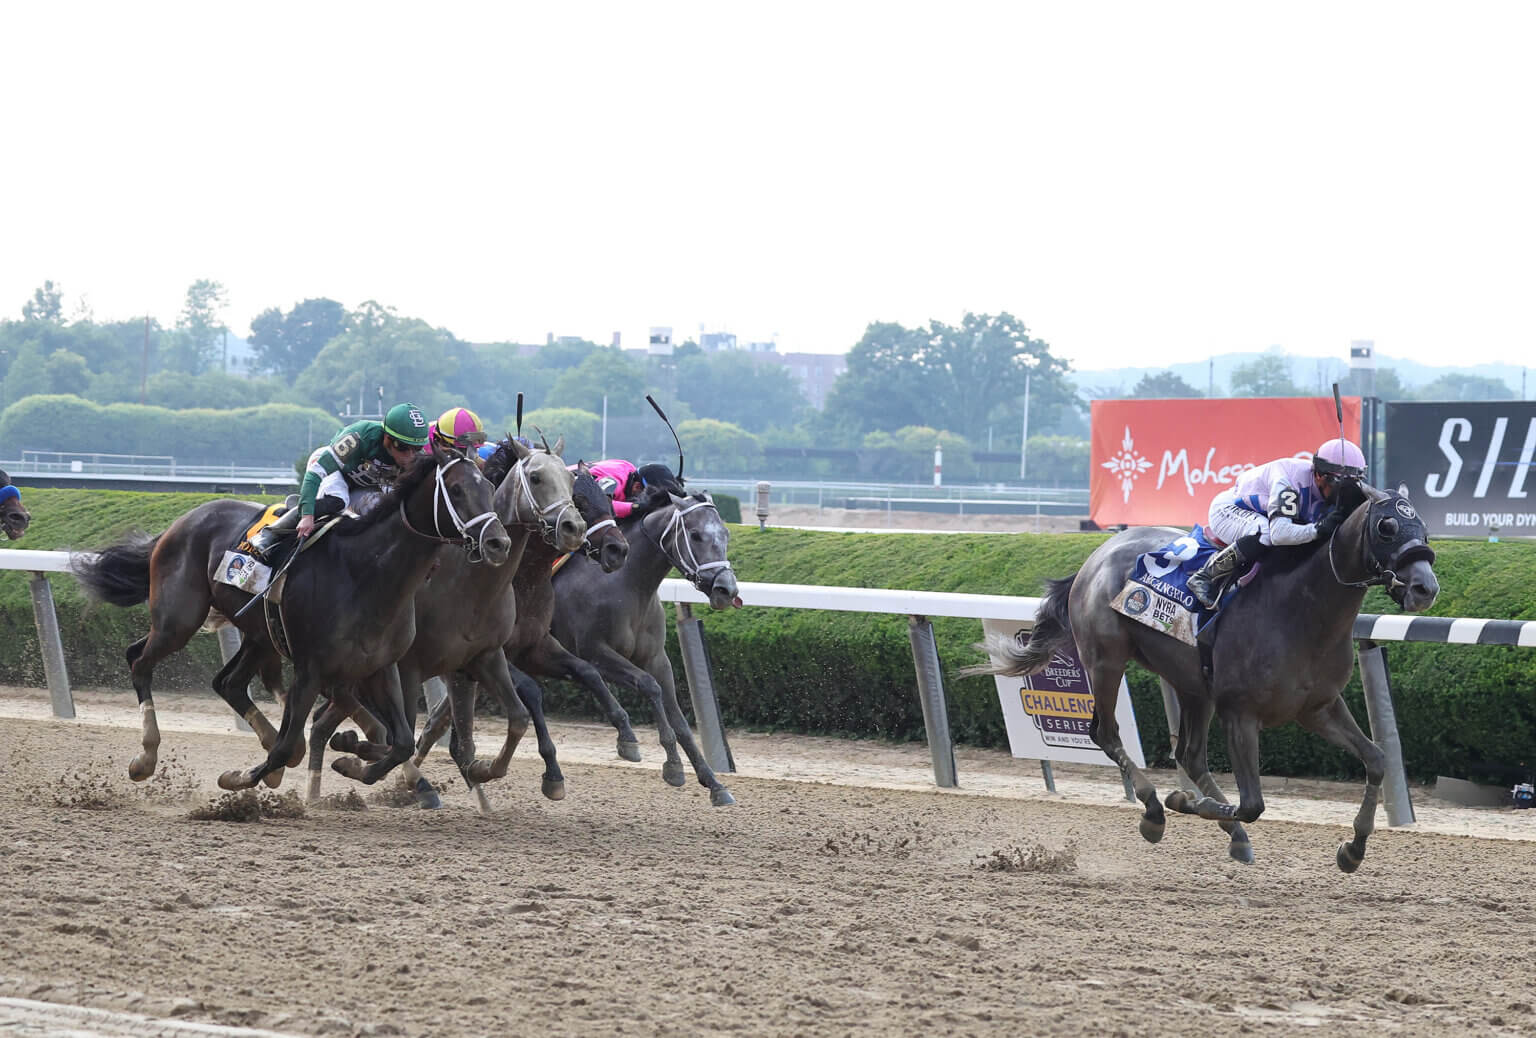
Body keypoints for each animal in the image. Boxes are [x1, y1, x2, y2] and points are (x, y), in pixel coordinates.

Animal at [73, 442, 509, 792]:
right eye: (456, 490)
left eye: (490, 489)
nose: (498, 542)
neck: (366, 573)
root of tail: (183, 520)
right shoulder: (311, 668)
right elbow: (287, 745)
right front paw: (238, 777)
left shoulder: (379, 667)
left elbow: (400, 741)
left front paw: (351, 765)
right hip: (178, 619)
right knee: (139, 661)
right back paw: (145, 758)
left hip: (258, 634)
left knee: (228, 683)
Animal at [552, 491, 743, 804]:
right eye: (695, 534)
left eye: (725, 533)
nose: (727, 590)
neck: (626, 585)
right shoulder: (595, 650)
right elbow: (648, 685)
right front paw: (672, 765)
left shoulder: (656, 658)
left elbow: (680, 720)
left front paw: (715, 784)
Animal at [970, 482, 1437, 872]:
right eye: (1387, 525)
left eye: (1424, 527)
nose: (1425, 588)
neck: (1299, 609)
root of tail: (1099, 553)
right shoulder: (1241, 714)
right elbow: (1252, 804)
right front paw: (1178, 800)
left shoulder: (1318, 707)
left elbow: (1376, 759)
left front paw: (1353, 850)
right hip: (1106, 661)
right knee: (1106, 732)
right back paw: (1154, 811)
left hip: (1193, 686)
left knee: (1190, 754)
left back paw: (1233, 836)